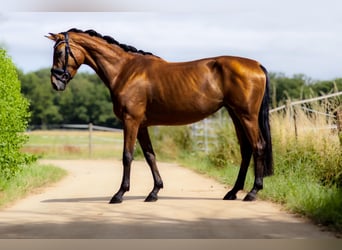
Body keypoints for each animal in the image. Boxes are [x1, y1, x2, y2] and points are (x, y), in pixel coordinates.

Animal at [46, 28, 274, 203]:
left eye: (60, 52)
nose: (56, 83)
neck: (125, 71)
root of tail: (256, 65)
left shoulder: (131, 121)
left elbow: (127, 156)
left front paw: (119, 194)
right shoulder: (142, 125)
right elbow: (150, 156)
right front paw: (154, 192)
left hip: (247, 116)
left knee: (258, 146)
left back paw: (253, 192)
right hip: (236, 115)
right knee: (246, 151)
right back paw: (233, 192)